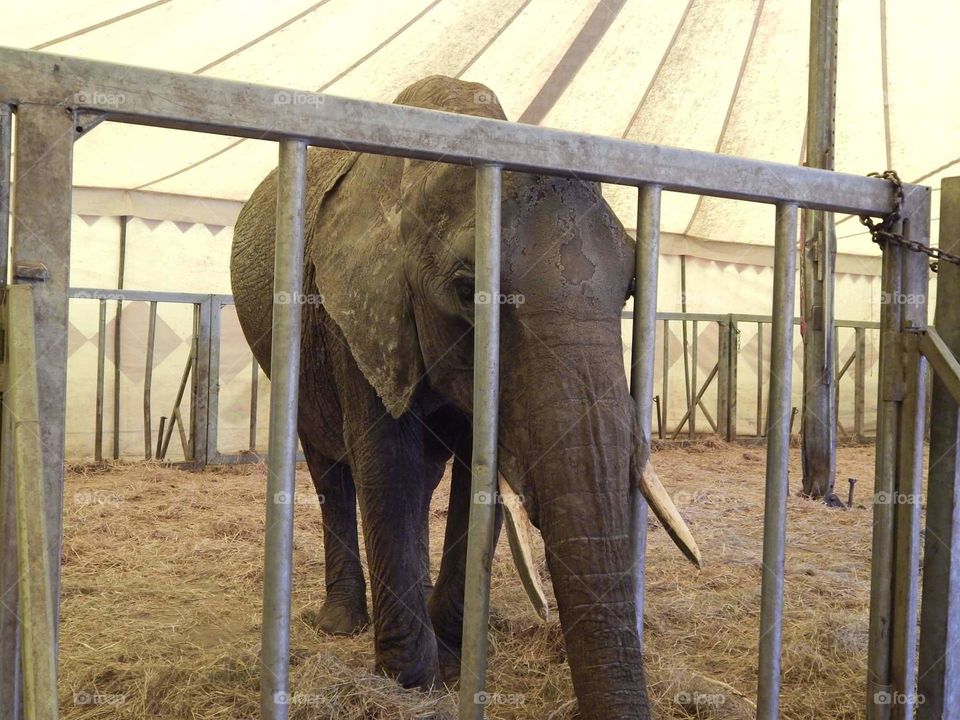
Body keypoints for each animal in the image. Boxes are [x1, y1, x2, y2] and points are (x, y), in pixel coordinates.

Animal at [230, 75, 700, 720]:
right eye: (465, 290)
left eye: (631, 288)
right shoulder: (359, 312)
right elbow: (390, 467)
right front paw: (411, 681)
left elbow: (479, 482)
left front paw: (452, 663)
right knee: (332, 470)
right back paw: (341, 623)